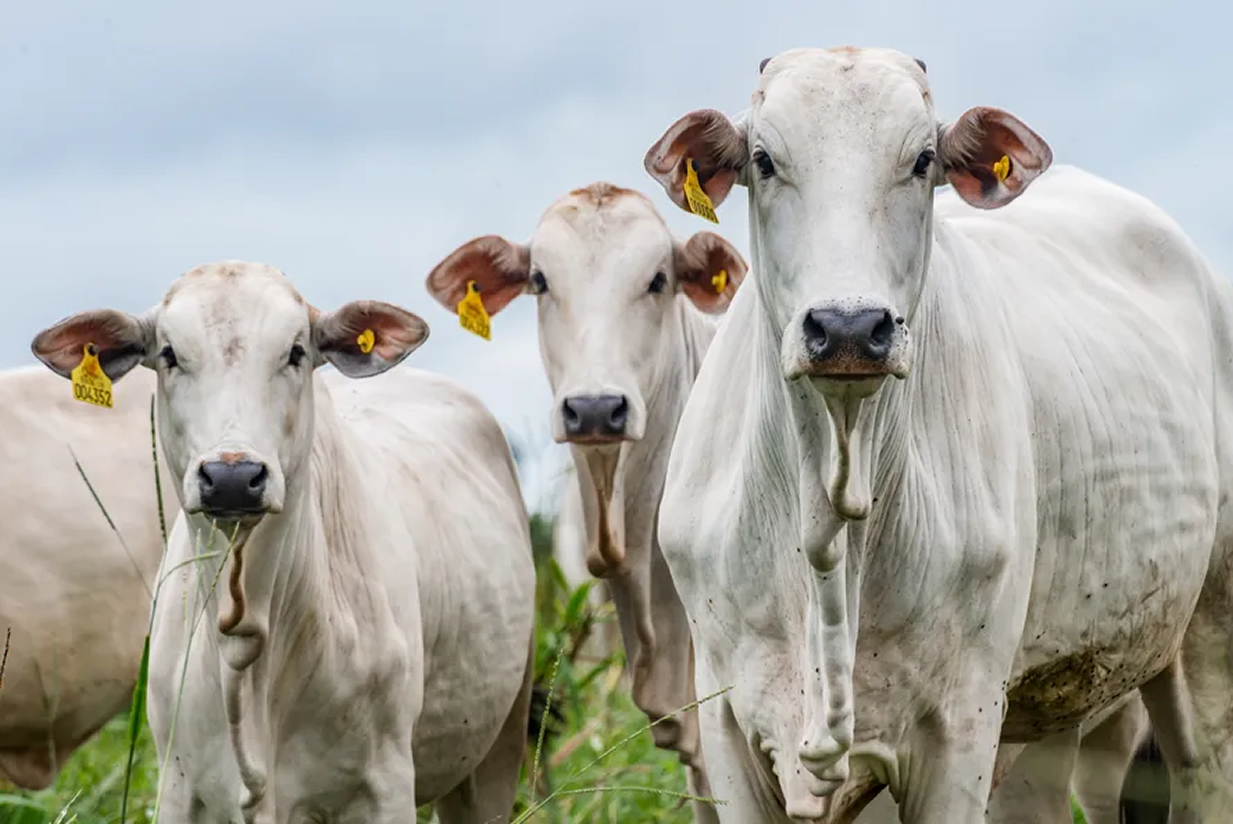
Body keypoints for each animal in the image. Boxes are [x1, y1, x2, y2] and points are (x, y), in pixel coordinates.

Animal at [28, 262, 537, 824]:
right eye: (169, 354)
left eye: (295, 351)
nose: (232, 477)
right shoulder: (178, 786)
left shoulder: (385, 786)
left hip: (499, 745)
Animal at [641, 46, 1228, 824]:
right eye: (763, 160)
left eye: (922, 160)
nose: (849, 328)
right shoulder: (726, 727)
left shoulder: (960, 729)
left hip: (1207, 647)